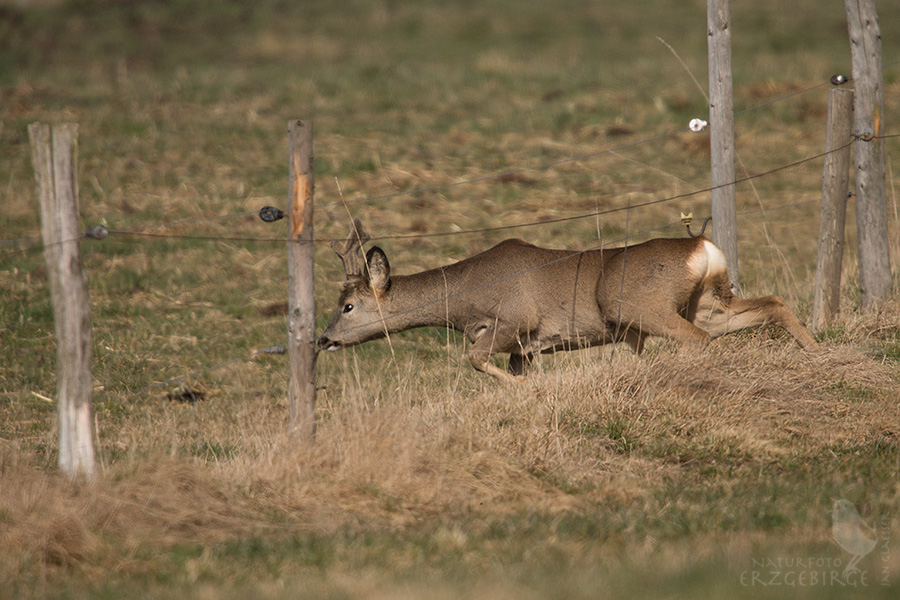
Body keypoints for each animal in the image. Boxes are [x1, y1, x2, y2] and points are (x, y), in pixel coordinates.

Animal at [320, 218, 820, 382]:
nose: (324, 339)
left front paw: (530, 392)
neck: (464, 302)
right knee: (771, 303)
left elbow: (475, 359)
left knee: (697, 341)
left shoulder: (513, 321)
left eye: (348, 306)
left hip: (639, 305)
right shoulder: (524, 347)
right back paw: (818, 352)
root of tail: (703, 247)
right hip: (707, 303)